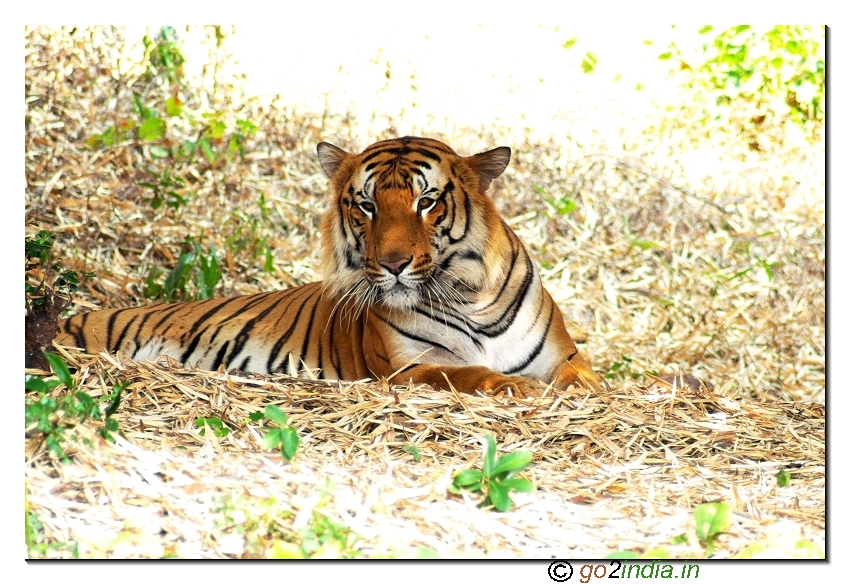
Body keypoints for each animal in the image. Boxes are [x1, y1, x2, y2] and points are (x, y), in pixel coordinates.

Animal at [55, 137, 603, 397]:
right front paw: (515, 387)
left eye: (426, 201)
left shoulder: (564, 355)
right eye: (366, 205)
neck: (467, 296)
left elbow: (585, 380)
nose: (393, 264)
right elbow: (465, 374)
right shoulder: (407, 368)